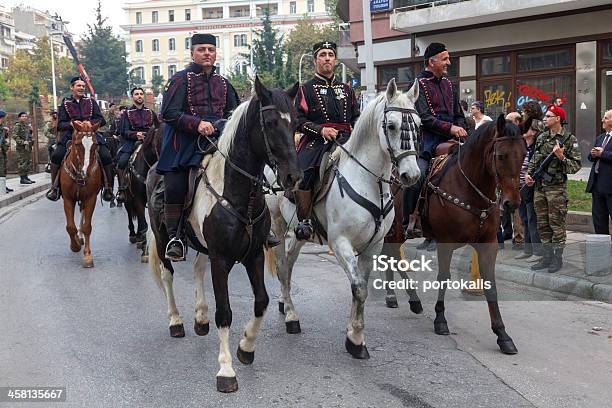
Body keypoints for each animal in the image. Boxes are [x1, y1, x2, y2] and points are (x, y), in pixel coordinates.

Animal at [59, 121, 103, 268]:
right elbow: (70, 227)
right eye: (78, 144)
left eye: (95, 144)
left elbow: (87, 227)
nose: (86, 172)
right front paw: (75, 245)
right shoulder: (68, 199)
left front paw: (87, 256)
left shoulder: (91, 198)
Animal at [148, 76, 302, 392]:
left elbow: (261, 302)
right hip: (162, 239)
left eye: (295, 122)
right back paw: (176, 321)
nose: (293, 177)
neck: (238, 194)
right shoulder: (221, 260)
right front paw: (226, 369)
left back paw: (200, 317)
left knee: (197, 268)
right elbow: (225, 312)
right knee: (168, 275)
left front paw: (246, 347)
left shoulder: (254, 256)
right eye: (270, 123)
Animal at [266, 79, 424, 356]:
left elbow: (361, 285)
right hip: (278, 225)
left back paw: (285, 303)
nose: (411, 175)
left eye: (418, 125)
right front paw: (356, 340)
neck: (368, 181)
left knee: (291, 264)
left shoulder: (374, 245)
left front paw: (354, 333)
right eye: (391, 126)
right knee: (283, 268)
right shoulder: (340, 243)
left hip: (298, 233)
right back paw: (292, 317)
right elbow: (359, 288)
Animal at [420, 115, 524, 354]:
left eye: (524, 155)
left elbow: (490, 285)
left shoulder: (489, 243)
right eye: (501, 156)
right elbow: (443, 277)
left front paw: (502, 334)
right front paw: (440, 320)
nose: (511, 203)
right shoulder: (445, 242)